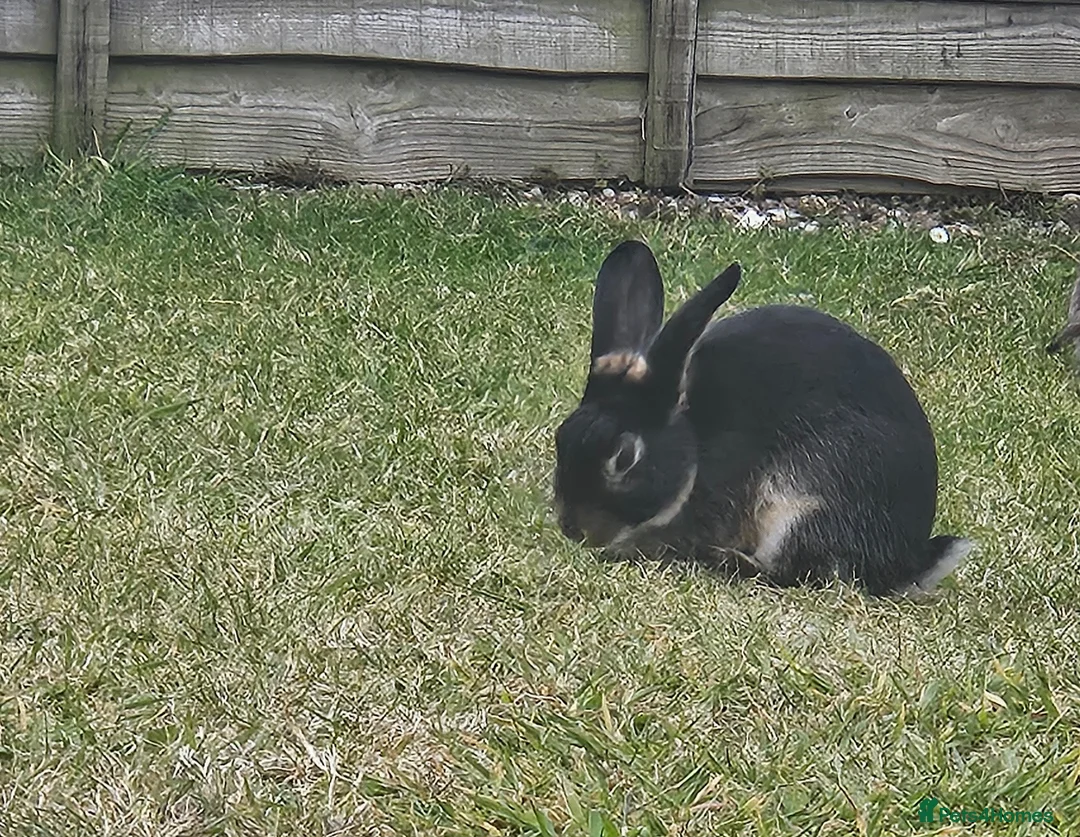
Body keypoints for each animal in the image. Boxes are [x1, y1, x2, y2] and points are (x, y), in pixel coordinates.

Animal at [553, 240, 972, 597]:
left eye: (624, 457)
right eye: (562, 436)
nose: (572, 529)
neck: (694, 444)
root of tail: (904, 564)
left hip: (802, 504)